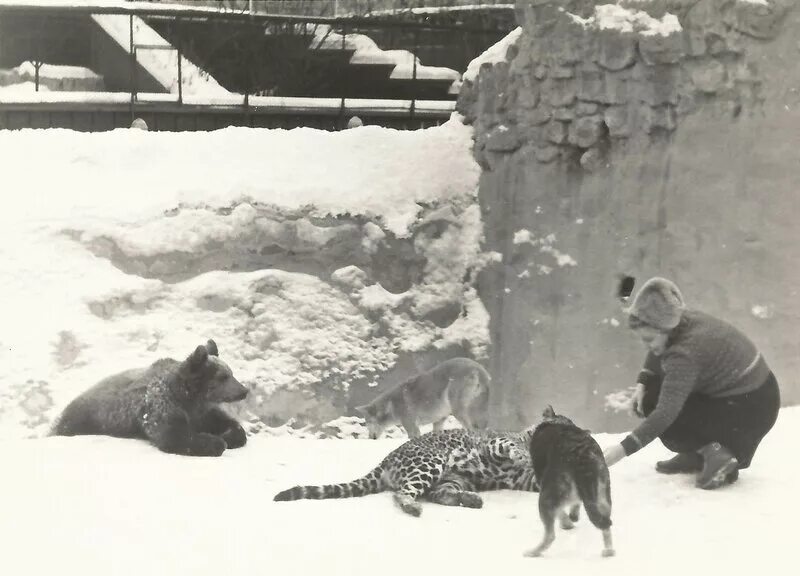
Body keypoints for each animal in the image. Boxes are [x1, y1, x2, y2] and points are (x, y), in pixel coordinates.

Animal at [272, 428, 540, 516]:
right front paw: (522, 454)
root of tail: (386, 460)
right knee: (402, 492)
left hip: (455, 478)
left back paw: (470, 499)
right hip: (431, 462)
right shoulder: (495, 441)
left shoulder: (527, 479)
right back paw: (412, 507)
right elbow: (510, 445)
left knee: (438, 493)